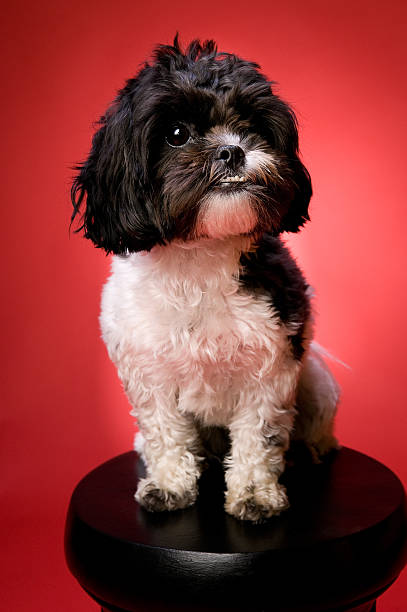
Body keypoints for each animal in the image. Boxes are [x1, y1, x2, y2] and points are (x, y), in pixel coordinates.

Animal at [71, 37, 340, 520]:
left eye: (252, 126)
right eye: (177, 134)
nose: (232, 150)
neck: (198, 259)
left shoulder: (271, 370)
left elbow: (259, 437)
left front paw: (254, 494)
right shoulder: (149, 374)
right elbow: (165, 432)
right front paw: (169, 484)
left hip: (315, 379)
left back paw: (311, 449)